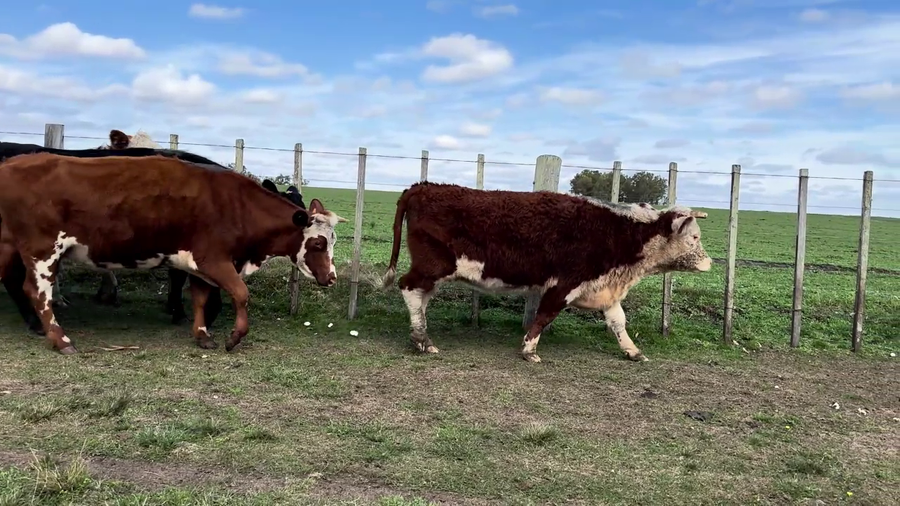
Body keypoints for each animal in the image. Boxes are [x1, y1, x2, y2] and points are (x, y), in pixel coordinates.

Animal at [0, 152, 346, 355]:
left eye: (333, 240)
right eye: (318, 243)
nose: (331, 278)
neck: (235, 205)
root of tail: (13, 162)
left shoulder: (199, 264)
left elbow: (200, 299)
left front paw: (202, 335)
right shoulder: (214, 259)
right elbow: (240, 294)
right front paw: (233, 337)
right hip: (43, 252)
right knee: (37, 291)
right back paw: (60, 339)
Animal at [380, 182, 711, 363]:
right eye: (694, 237)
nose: (709, 263)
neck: (619, 230)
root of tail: (422, 186)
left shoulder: (603, 288)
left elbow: (618, 321)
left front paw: (633, 351)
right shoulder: (565, 283)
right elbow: (544, 316)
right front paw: (529, 349)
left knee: (420, 297)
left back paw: (421, 335)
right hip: (433, 265)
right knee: (409, 288)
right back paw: (422, 339)